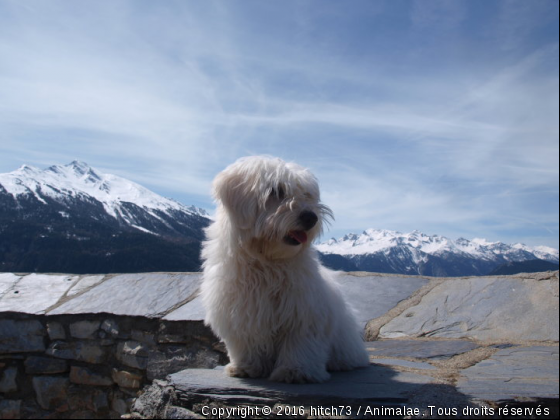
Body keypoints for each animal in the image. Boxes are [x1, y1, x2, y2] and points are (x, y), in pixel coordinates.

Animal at [199, 156, 370, 382]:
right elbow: (246, 343)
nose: (311, 218)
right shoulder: (241, 313)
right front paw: (246, 366)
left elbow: (301, 344)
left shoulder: (302, 313)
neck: (267, 263)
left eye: (307, 194)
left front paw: (296, 371)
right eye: (276, 191)